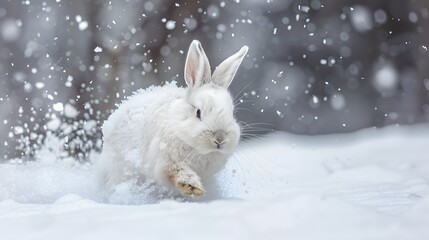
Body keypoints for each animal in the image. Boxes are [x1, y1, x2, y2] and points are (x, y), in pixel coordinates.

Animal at [98, 40, 247, 196]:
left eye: (232, 113)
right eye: (198, 113)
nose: (219, 139)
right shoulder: (166, 161)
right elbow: (176, 172)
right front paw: (193, 186)